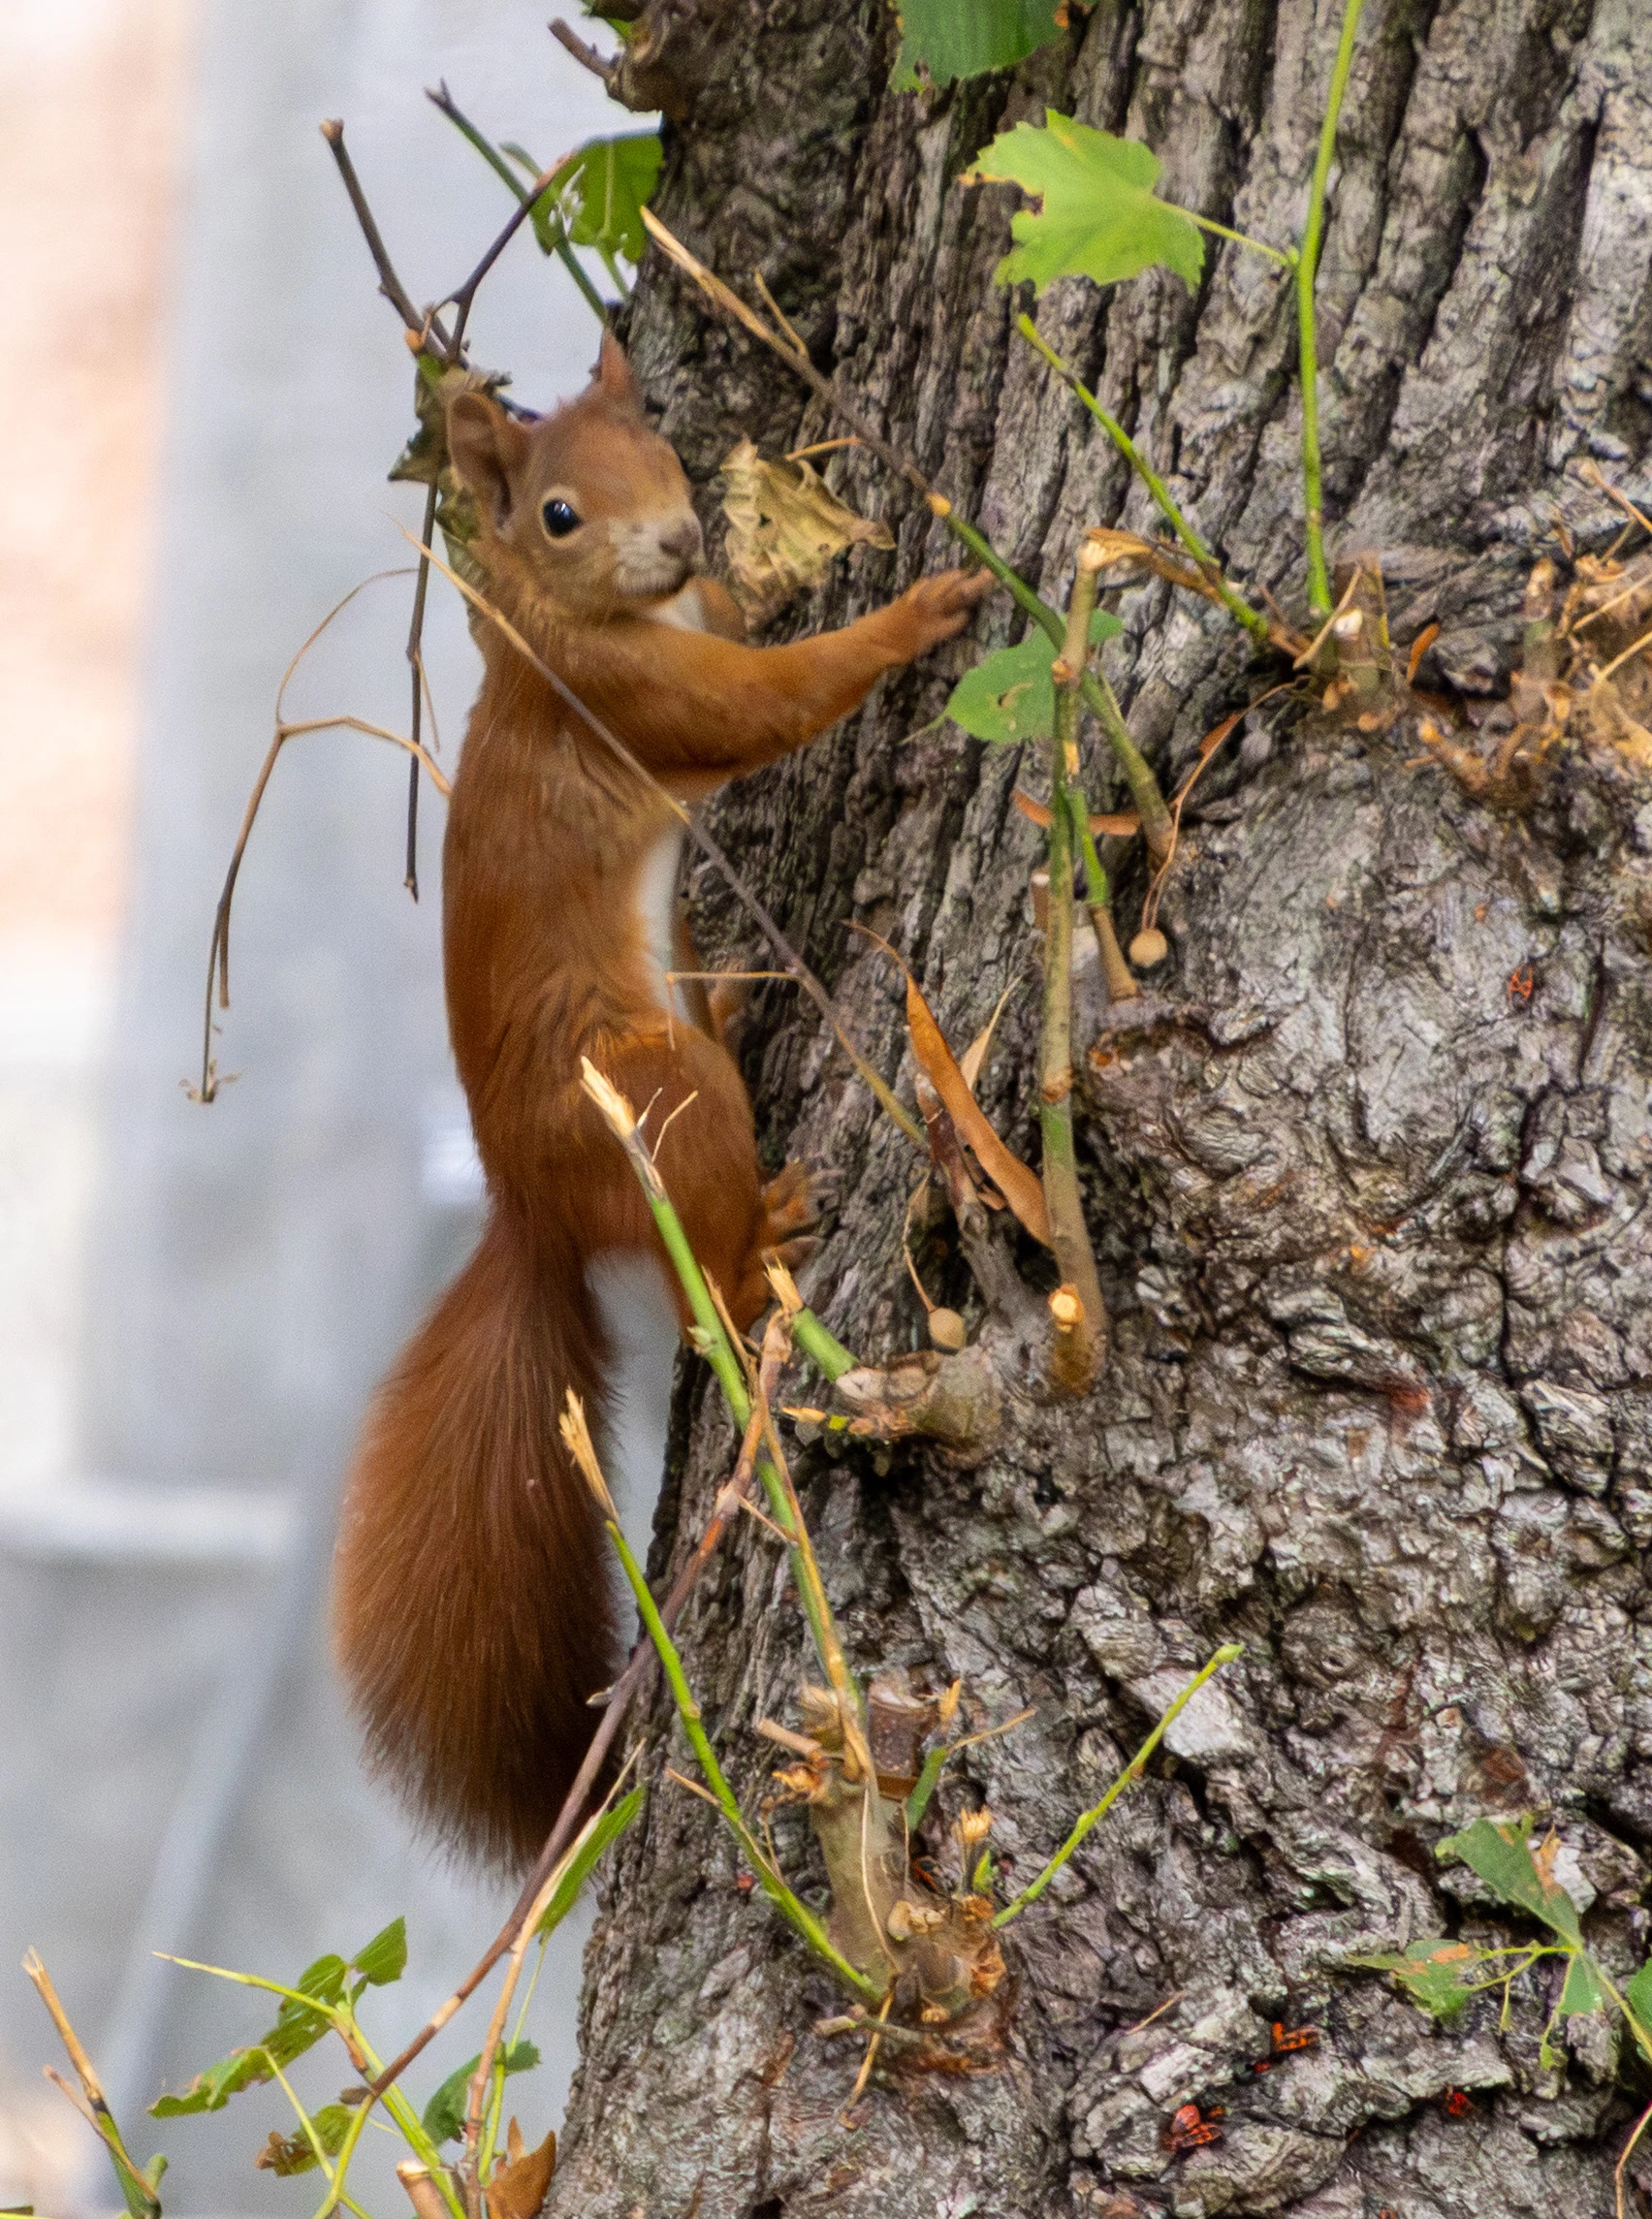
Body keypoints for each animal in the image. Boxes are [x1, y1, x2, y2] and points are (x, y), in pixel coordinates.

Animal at [332, 333, 991, 1870]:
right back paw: (762, 1247)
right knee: (711, 1298)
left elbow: (752, 641)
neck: (585, 622)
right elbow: (770, 699)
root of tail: (526, 1204)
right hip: (655, 1095)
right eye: (559, 514)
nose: (685, 535)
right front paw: (921, 608)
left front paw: (781, 561)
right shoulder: (631, 699)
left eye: (668, 453)